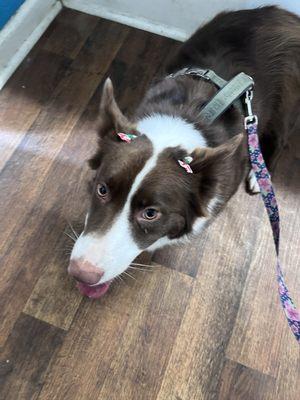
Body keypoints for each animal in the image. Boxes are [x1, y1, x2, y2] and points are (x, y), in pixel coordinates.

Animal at [68, 6, 300, 296]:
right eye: (102, 189)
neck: (178, 126)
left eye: (151, 213)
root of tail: (283, 13)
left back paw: (261, 175)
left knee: (278, 136)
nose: (81, 273)